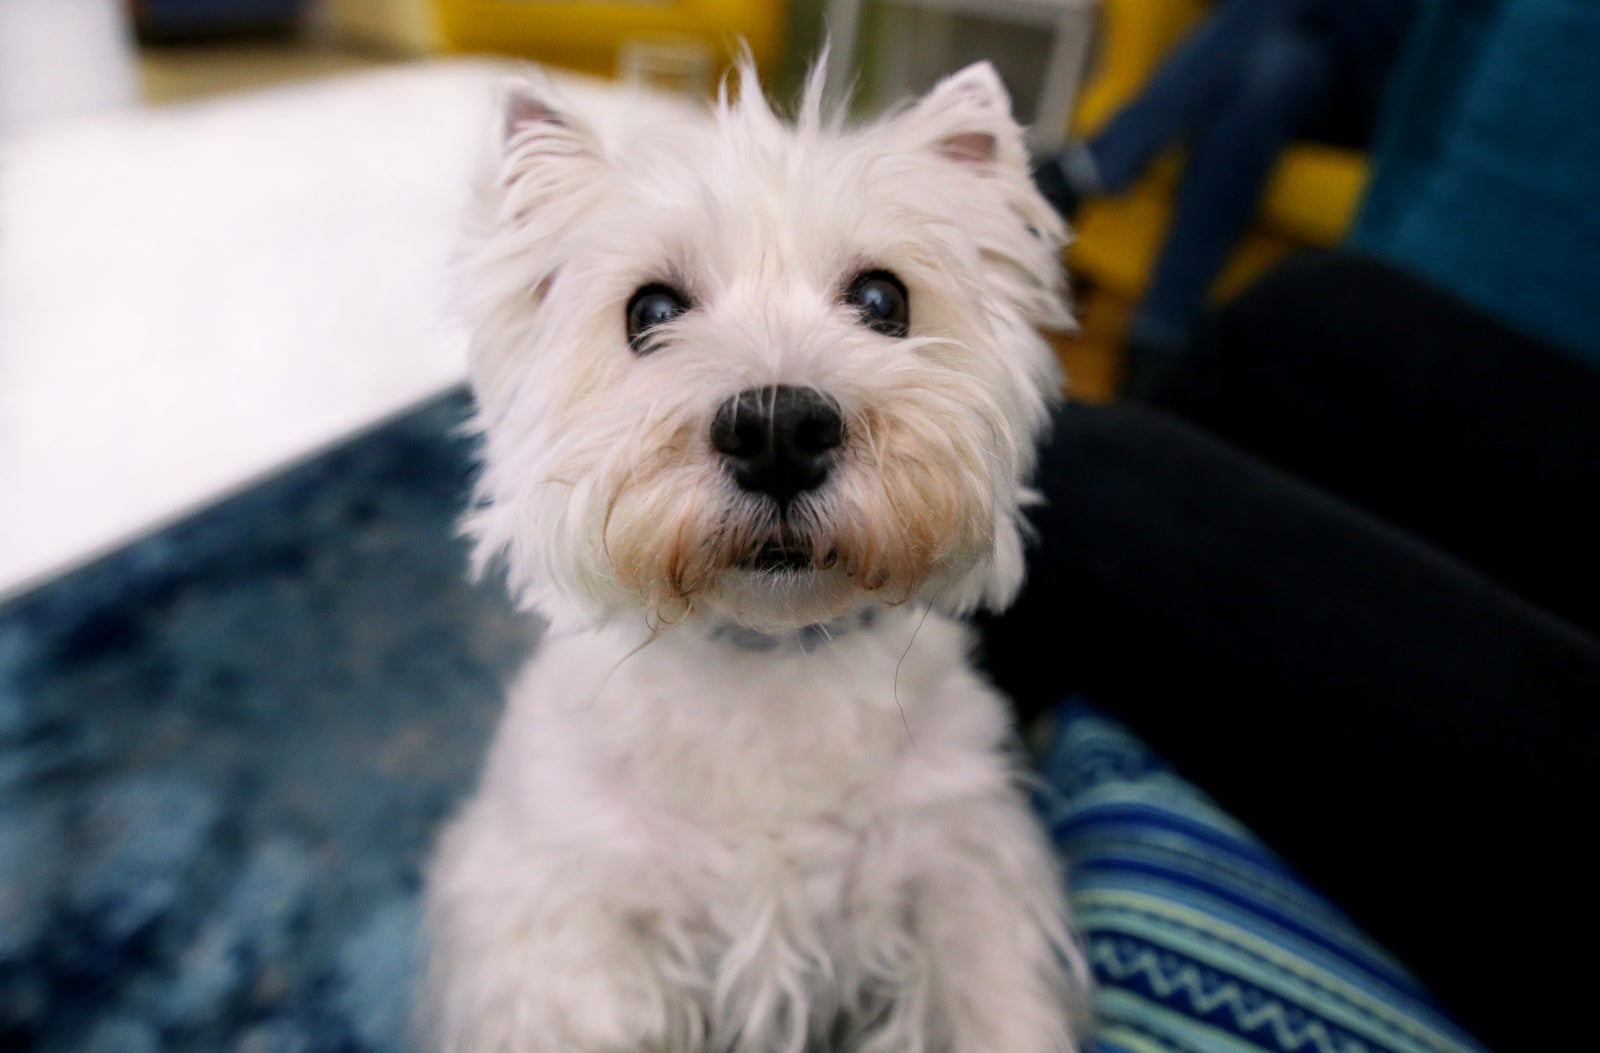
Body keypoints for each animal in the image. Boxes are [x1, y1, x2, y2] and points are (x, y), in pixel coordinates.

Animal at [425, 61, 1094, 1049]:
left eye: (882, 300)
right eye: (651, 310)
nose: (779, 430)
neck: (765, 669)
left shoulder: (963, 865)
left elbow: (993, 1003)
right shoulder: (562, 910)